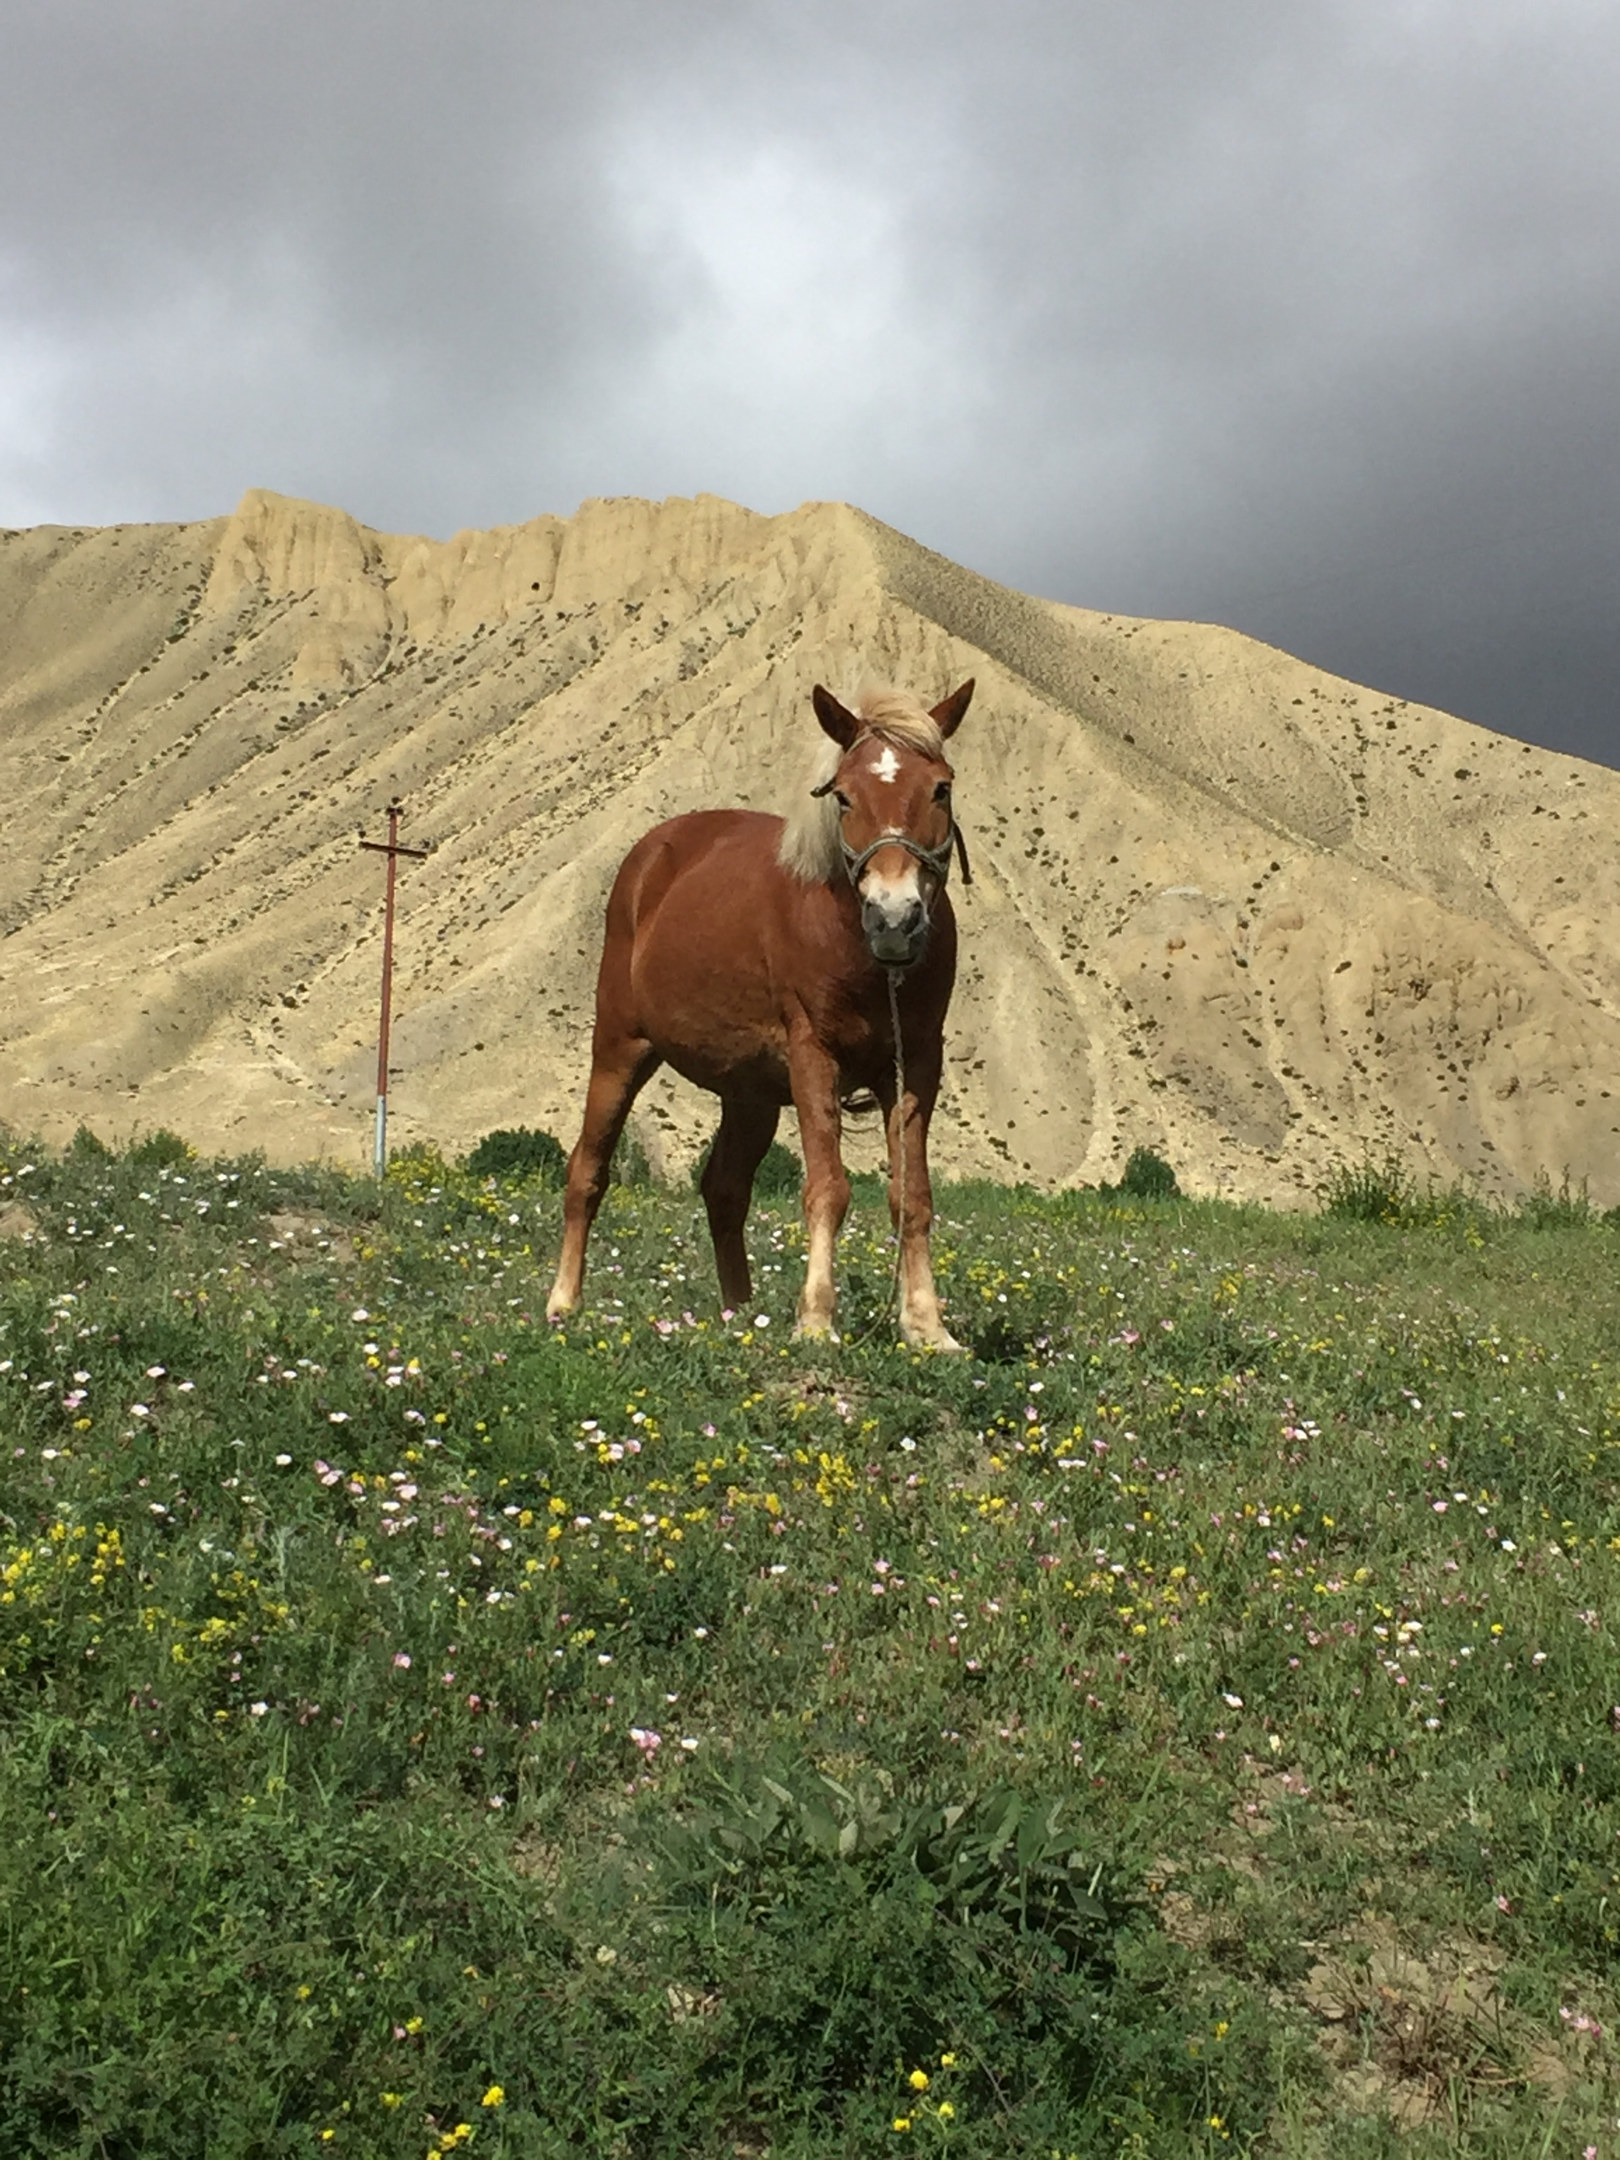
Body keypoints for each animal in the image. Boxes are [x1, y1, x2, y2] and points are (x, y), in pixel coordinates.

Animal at [544, 676, 976, 1348]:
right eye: (844, 797)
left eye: (941, 787)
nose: (894, 918)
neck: (860, 953)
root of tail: (650, 857)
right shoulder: (812, 1058)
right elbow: (827, 1188)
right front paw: (816, 1319)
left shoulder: (916, 1067)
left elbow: (912, 1195)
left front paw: (928, 1326)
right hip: (618, 1049)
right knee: (587, 1172)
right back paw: (564, 1301)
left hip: (748, 1095)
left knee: (724, 1189)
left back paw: (739, 1314)